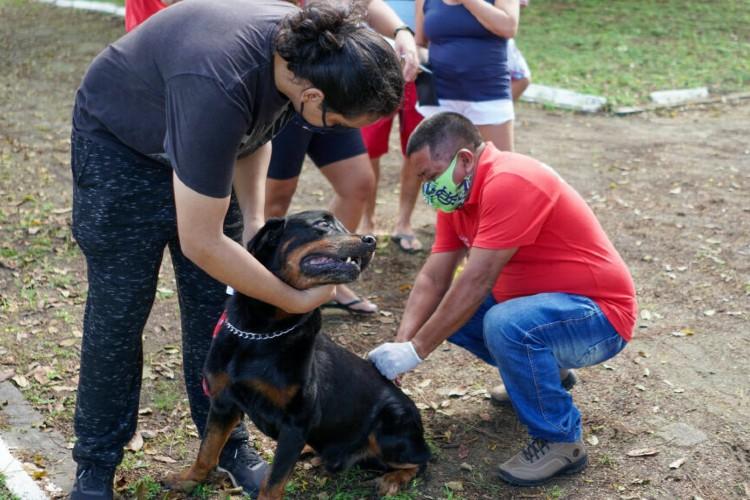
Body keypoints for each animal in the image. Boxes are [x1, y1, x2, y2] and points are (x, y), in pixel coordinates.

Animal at [168, 211, 432, 500]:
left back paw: (392, 479)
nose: (371, 240)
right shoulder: (223, 403)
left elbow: (273, 481)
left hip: (390, 423)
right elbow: (207, 449)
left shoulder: (296, 420)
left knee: (422, 460)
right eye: (322, 224)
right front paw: (187, 480)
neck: (262, 332)